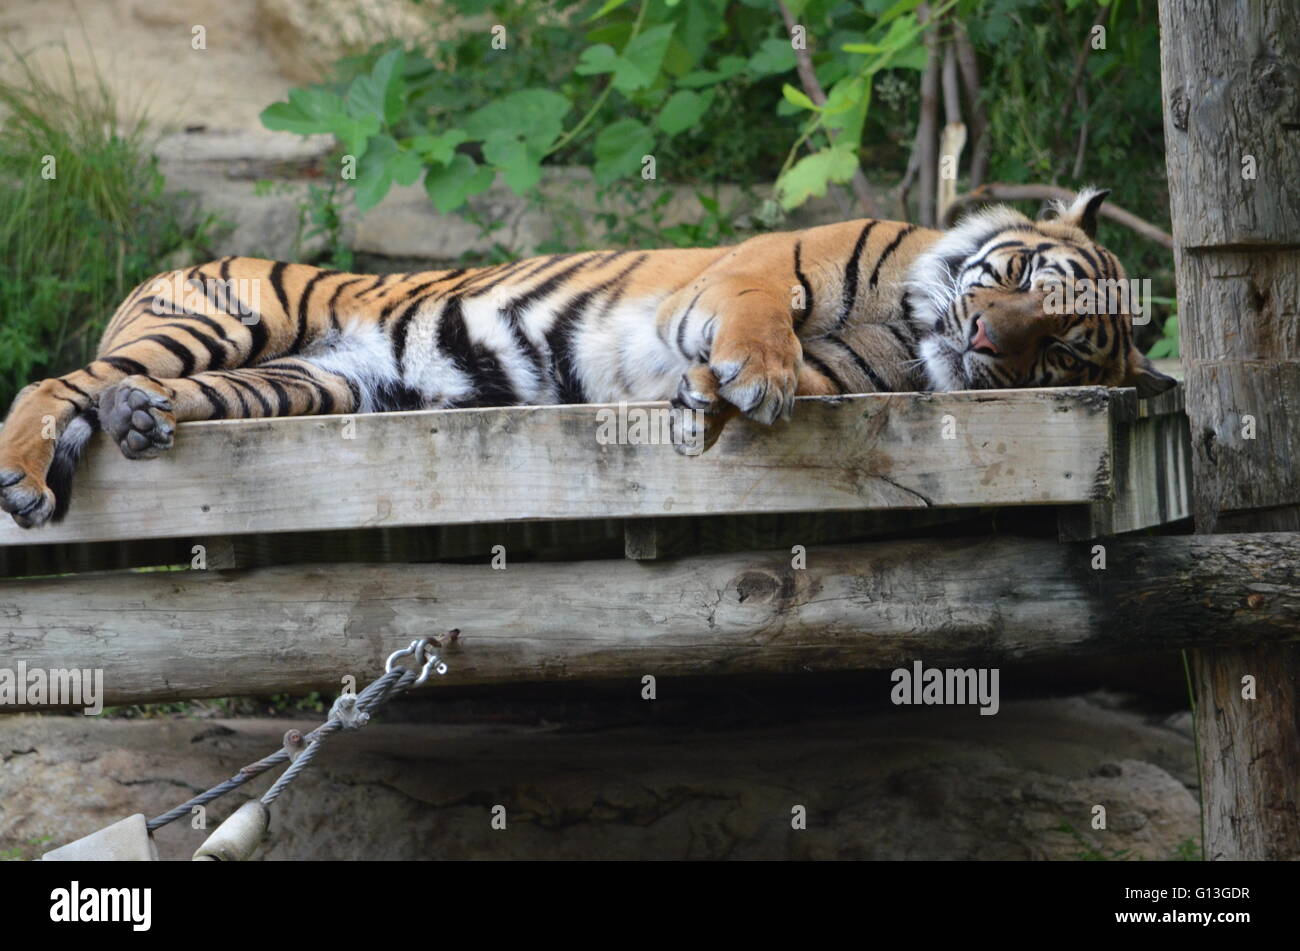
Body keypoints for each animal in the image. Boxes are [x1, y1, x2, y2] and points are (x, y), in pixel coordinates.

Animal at [0, 184, 1180, 527]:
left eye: (1058, 354)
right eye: (1020, 279)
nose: (983, 338)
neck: (909, 323)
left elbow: (775, 378)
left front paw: (710, 401)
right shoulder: (756, 267)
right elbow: (763, 325)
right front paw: (746, 378)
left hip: (310, 381)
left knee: (154, 397)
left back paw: (142, 420)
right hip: (229, 319)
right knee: (50, 379)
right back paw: (27, 476)